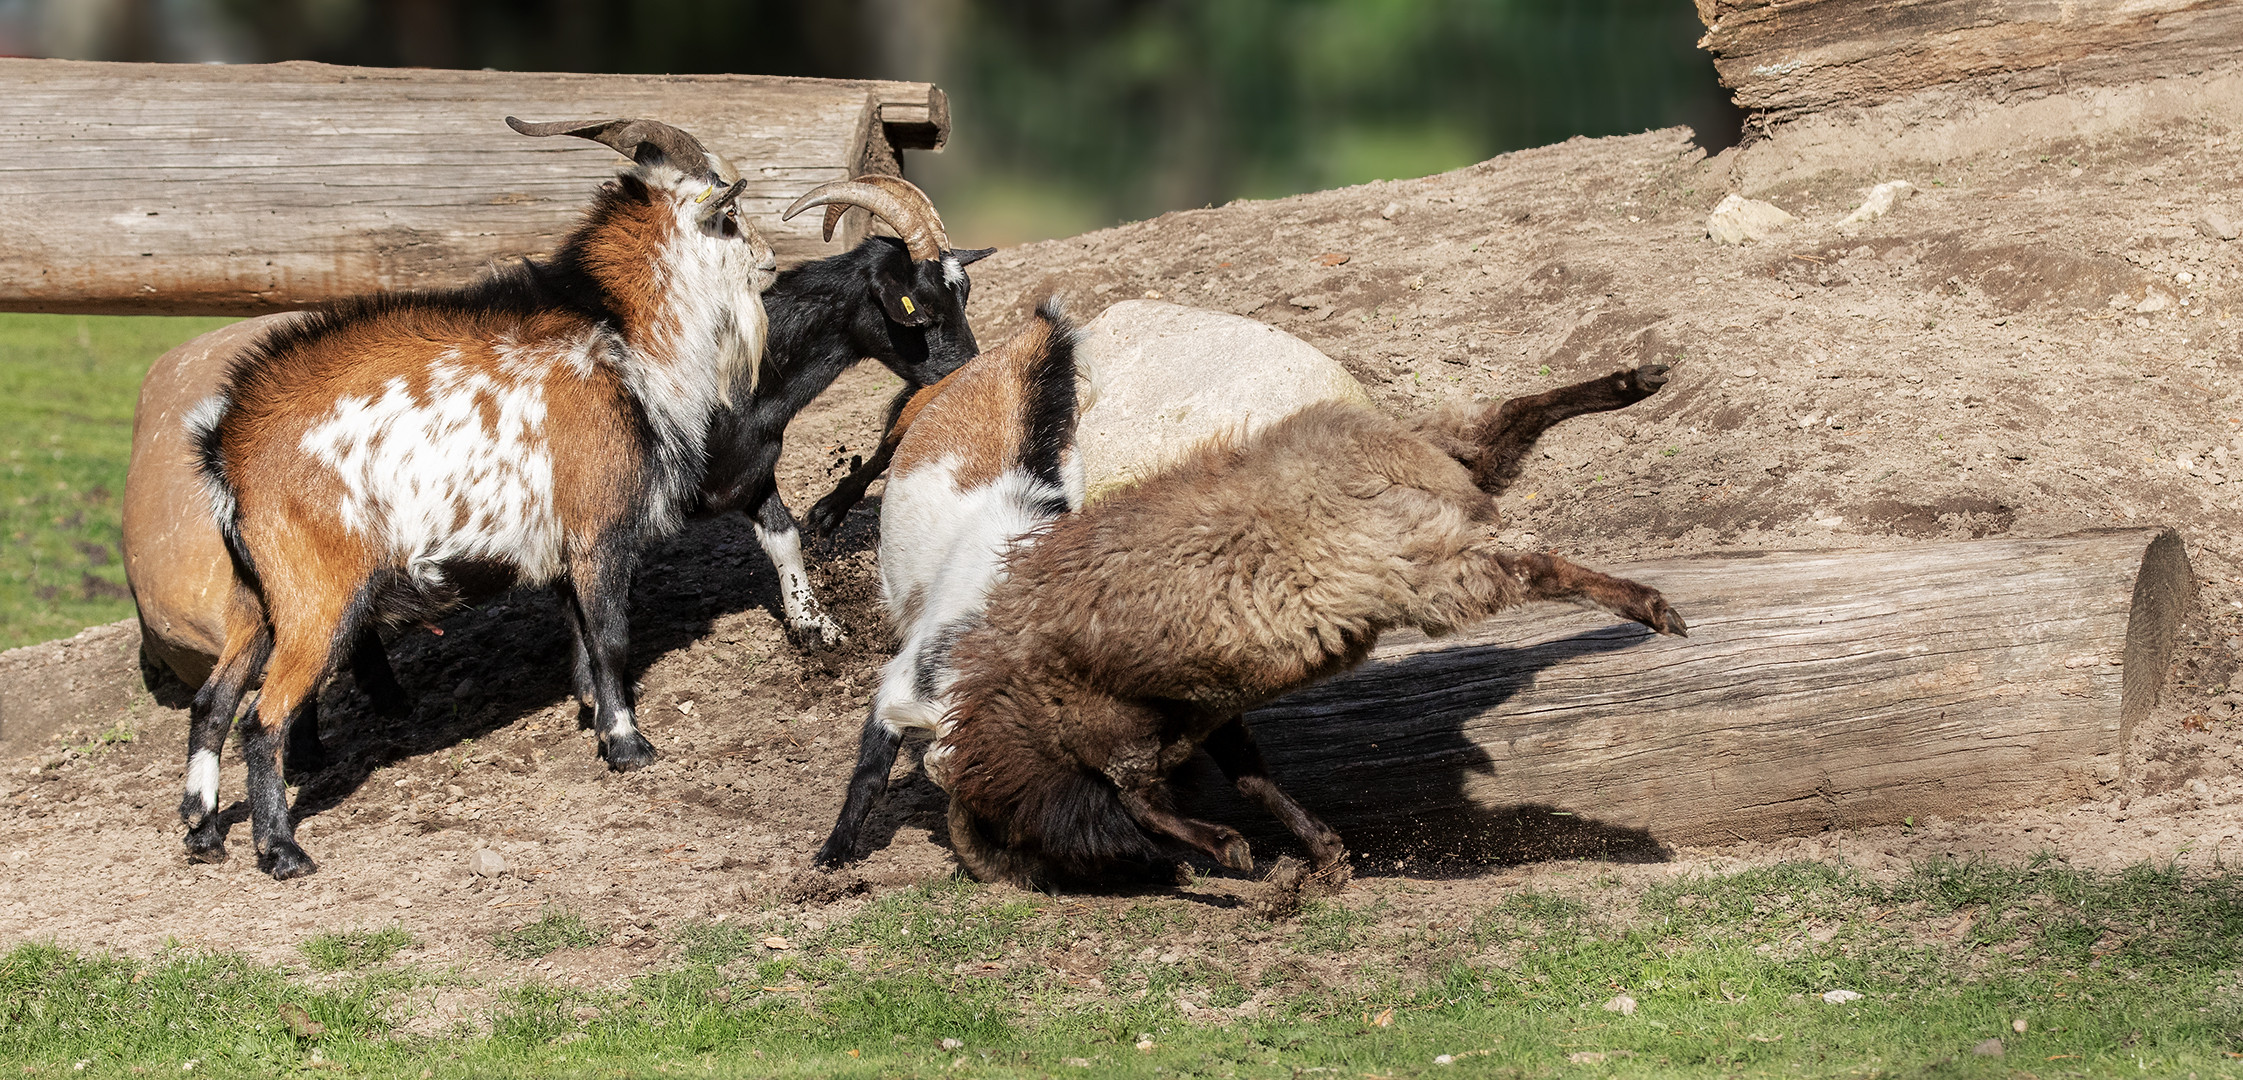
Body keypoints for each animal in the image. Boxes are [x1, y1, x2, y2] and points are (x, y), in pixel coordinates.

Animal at [174, 115, 776, 875]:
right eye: (728, 217)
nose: (772, 261)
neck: (617, 331)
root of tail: (225, 447)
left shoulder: (560, 544)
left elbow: (581, 638)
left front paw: (592, 719)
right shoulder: (599, 528)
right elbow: (611, 637)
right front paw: (628, 745)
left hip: (257, 598)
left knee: (211, 702)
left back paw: (202, 832)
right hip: (319, 599)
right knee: (263, 716)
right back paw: (282, 851)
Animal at [811, 296, 1081, 866]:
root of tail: (1010, 355)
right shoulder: (908, 676)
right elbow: (870, 771)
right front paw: (832, 856)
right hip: (921, 404)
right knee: (886, 443)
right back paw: (825, 513)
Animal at [915, 361, 1686, 884]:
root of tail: (992, 685)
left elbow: (1518, 422)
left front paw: (1637, 381)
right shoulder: (1423, 574)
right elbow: (1541, 565)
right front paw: (1652, 608)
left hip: (1185, 707)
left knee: (1211, 779)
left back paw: (1309, 848)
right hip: (1118, 723)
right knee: (1138, 796)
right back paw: (1234, 846)